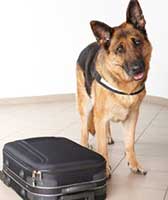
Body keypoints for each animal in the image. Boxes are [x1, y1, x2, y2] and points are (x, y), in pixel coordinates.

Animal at [76, 0, 152, 178]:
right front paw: (105, 169)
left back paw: (108, 136)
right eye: (119, 49)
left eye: (137, 42)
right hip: (85, 105)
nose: (137, 69)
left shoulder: (132, 117)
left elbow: (129, 143)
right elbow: (102, 148)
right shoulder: (100, 116)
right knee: (84, 129)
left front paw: (134, 164)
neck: (125, 87)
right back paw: (85, 144)